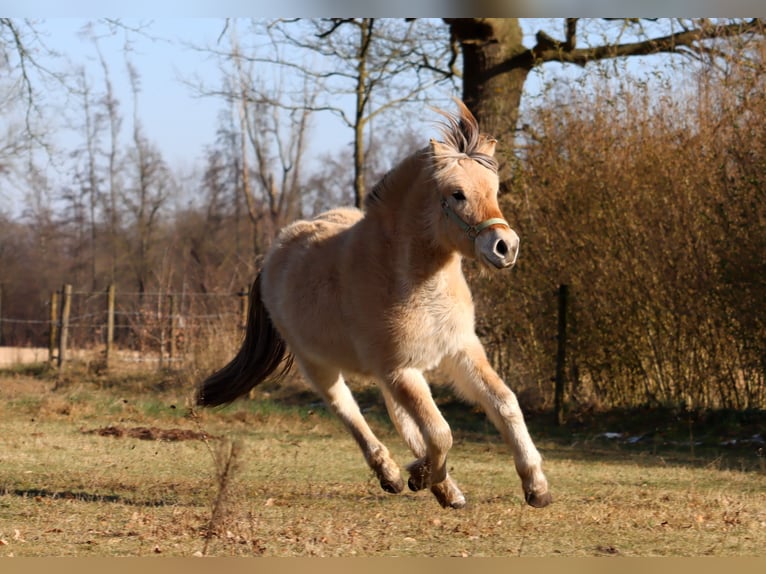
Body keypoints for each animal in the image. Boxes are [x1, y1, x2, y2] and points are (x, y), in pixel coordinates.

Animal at [196, 101, 552, 510]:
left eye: (493, 190)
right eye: (457, 194)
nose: (505, 247)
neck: (414, 281)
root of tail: (273, 257)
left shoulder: (458, 351)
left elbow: (503, 404)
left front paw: (536, 486)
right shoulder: (401, 369)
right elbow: (440, 432)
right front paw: (424, 476)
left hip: (386, 374)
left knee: (402, 419)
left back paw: (440, 486)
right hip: (320, 365)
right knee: (348, 411)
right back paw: (396, 475)